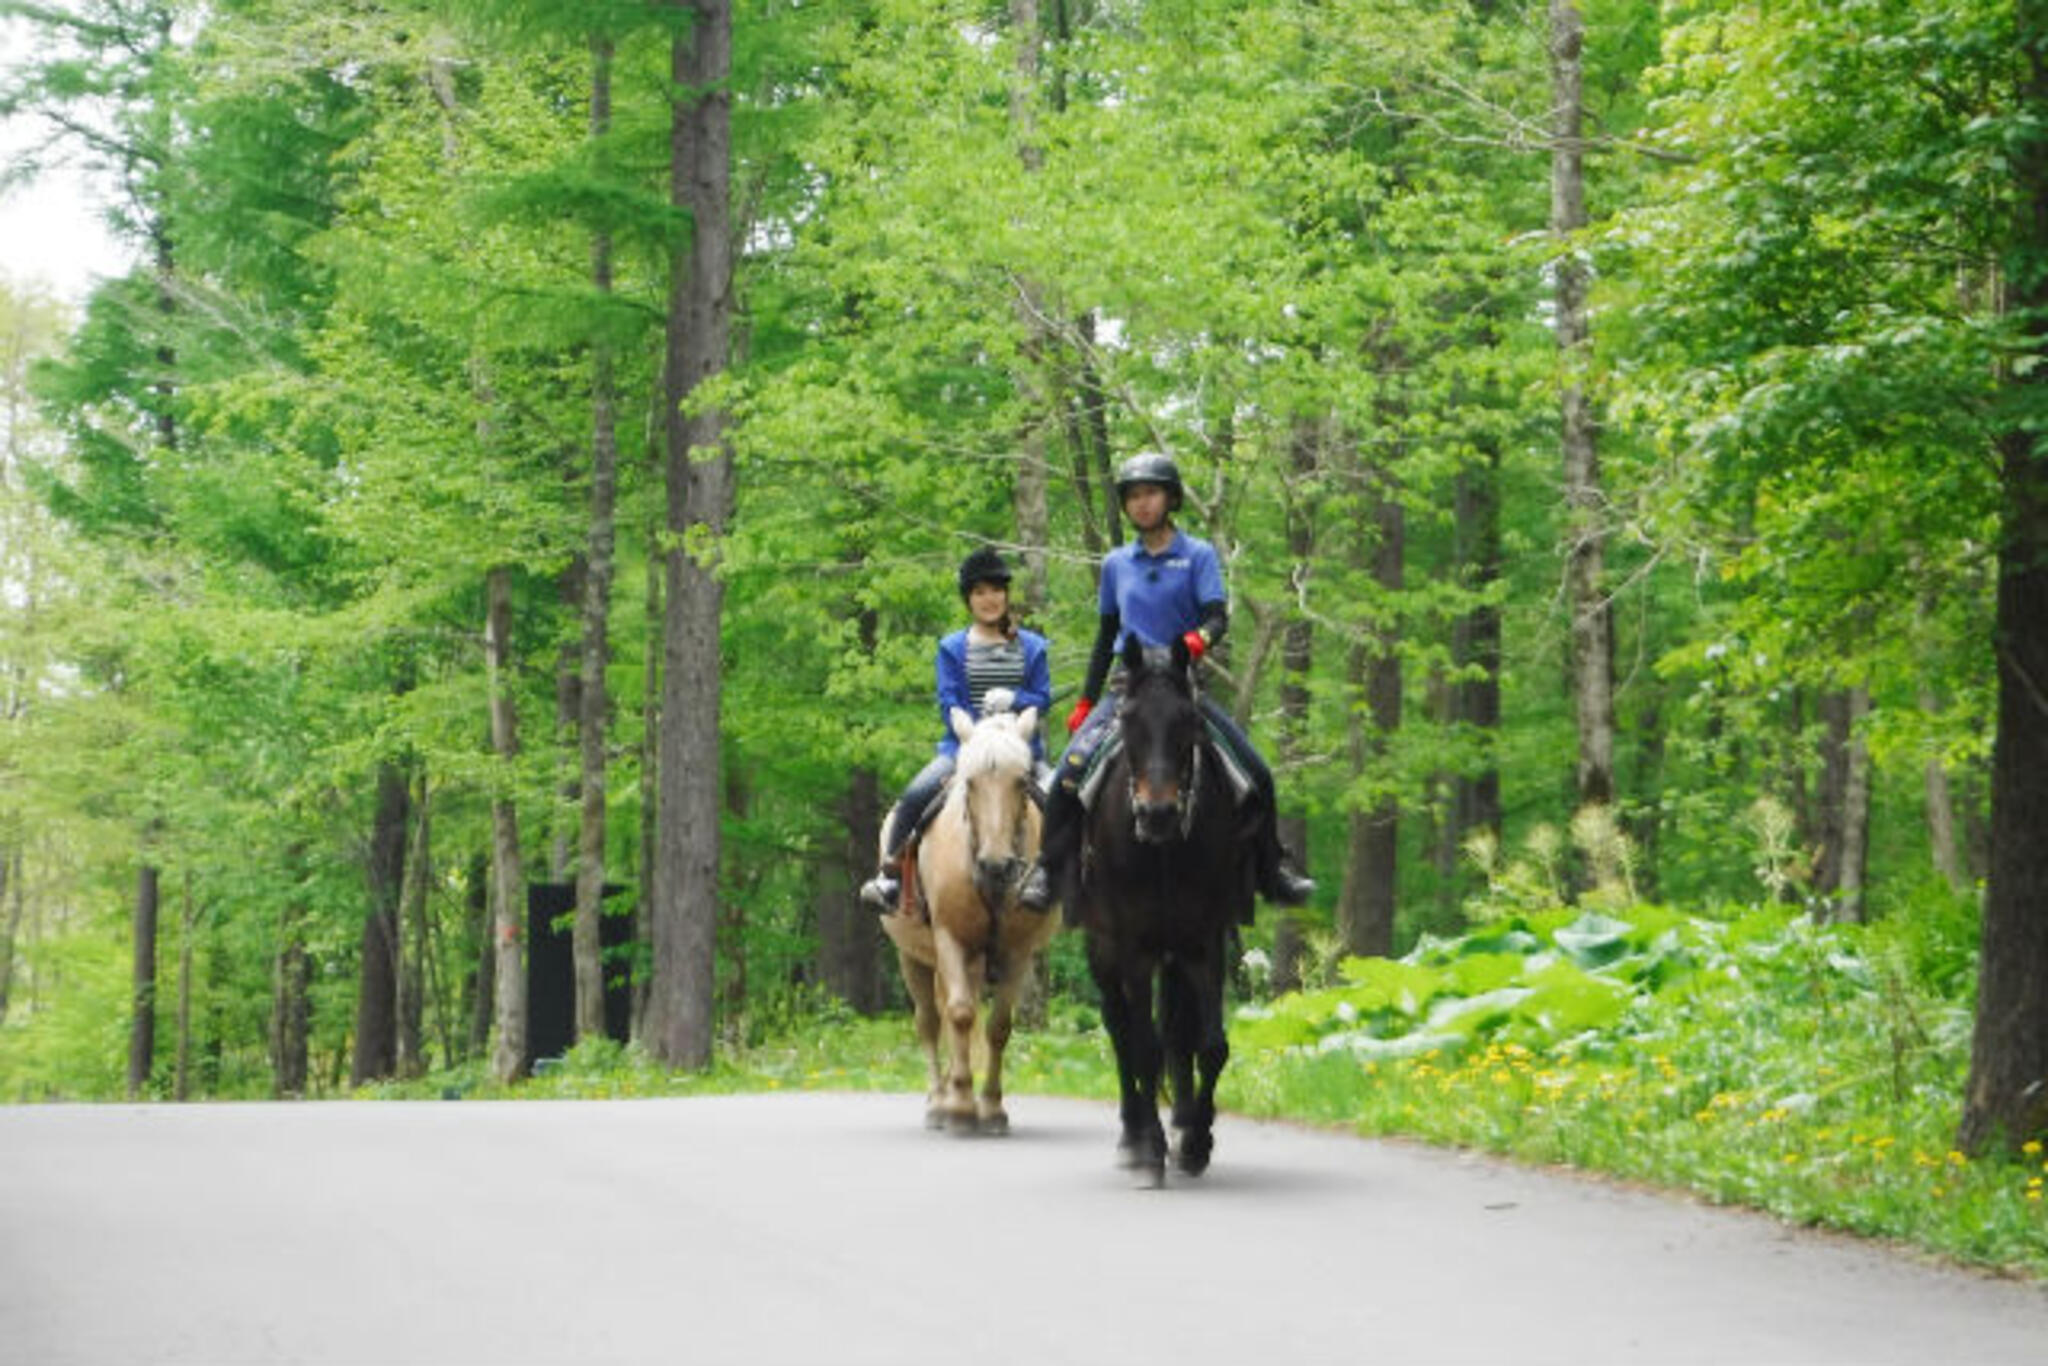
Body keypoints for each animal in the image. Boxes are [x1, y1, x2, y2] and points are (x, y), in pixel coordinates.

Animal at [872, 704, 1048, 1130]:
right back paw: (939, 1100)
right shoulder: (950, 939)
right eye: (970, 783)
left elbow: (998, 1027)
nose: (997, 865)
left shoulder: (1017, 951)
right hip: (913, 957)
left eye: (1022, 782)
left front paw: (991, 1106)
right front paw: (961, 1107)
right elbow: (961, 1014)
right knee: (931, 1020)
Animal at [1073, 643, 1245, 1187]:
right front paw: (1151, 1150)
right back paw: (1132, 1135)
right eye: (1128, 720)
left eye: (1187, 720)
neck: (1164, 851)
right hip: (1102, 950)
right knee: (1120, 1029)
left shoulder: (1204, 942)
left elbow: (1210, 1045)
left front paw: (1196, 1142)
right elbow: (1143, 1047)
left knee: (1175, 1032)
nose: (1157, 814)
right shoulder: (1133, 947)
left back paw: (1184, 1121)